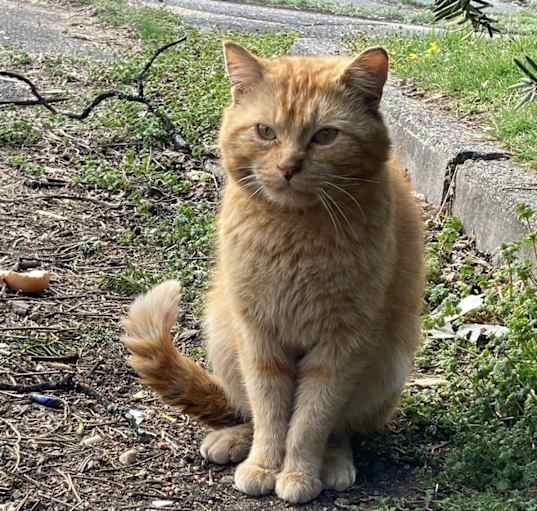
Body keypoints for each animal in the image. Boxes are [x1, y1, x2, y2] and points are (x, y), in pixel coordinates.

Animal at [121, 41, 422, 504]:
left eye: (325, 136)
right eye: (265, 132)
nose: (288, 167)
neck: (294, 234)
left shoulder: (340, 345)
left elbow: (311, 421)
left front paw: (298, 473)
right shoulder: (258, 338)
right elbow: (270, 413)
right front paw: (263, 464)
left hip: (385, 365)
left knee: (341, 429)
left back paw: (333, 462)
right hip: (225, 334)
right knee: (244, 409)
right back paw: (233, 440)